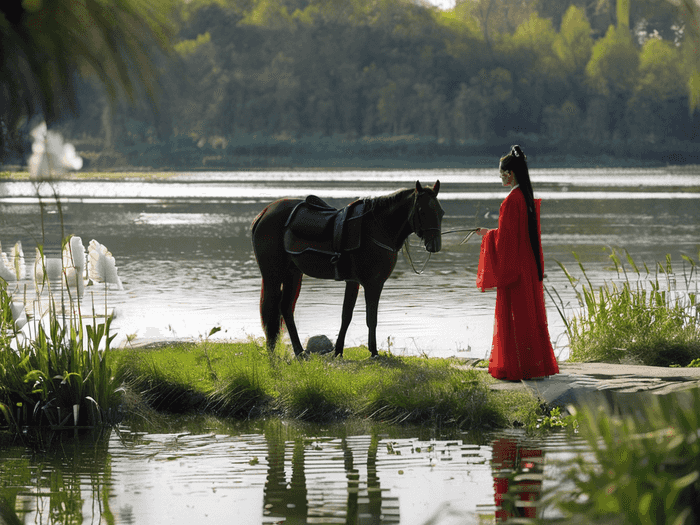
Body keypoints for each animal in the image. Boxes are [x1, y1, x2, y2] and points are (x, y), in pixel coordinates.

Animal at [252, 180, 442, 356]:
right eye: (421, 211)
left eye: (441, 212)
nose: (435, 245)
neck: (376, 228)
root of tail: (263, 213)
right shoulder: (373, 283)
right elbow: (371, 318)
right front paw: (373, 352)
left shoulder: (354, 281)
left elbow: (346, 316)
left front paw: (338, 351)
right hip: (272, 275)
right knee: (270, 310)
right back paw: (273, 355)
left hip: (293, 273)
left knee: (285, 308)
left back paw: (299, 352)